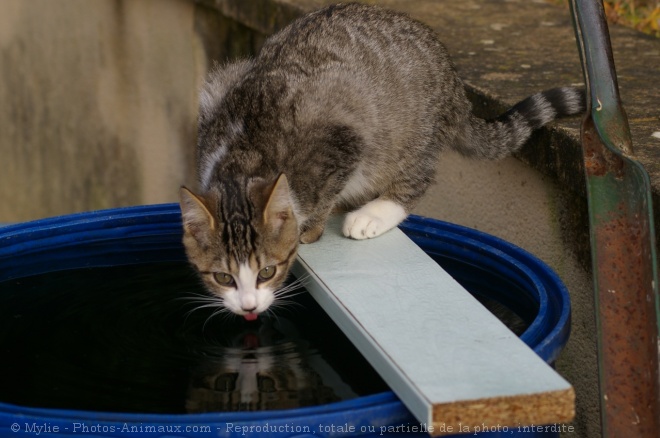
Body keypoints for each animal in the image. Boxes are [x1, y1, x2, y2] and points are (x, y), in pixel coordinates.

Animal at [178, 2, 584, 318]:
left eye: (266, 272)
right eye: (222, 277)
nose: (248, 307)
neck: (244, 156)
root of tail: (451, 76)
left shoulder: (344, 140)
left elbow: (324, 194)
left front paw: (311, 228)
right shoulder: (215, 97)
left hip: (407, 134)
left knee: (414, 179)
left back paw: (373, 214)